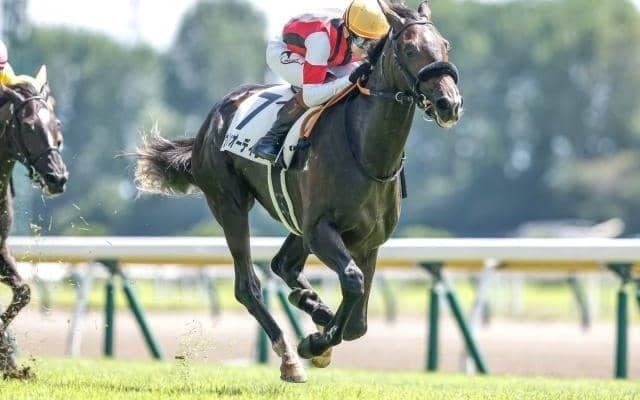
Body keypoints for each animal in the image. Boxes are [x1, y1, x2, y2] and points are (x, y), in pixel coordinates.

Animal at [135, 1, 461, 382]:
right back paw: (290, 356)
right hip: (230, 205)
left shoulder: (368, 242)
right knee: (248, 286)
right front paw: (314, 344)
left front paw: (321, 325)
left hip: (296, 221)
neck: (365, 151)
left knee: (283, 264)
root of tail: (210, 121)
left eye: (446, 46)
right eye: (409, 49)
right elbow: (352, 281)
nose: (449, 104)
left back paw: (312, 306)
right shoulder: (320, 229)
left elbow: (359, 323)